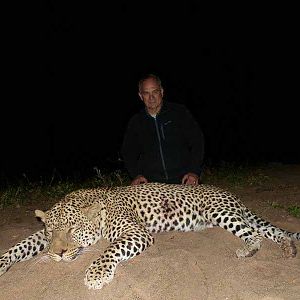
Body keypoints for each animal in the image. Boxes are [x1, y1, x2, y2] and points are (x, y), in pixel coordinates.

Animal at [0, 182, 298, 290]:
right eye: (51, 231)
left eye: (73, 230)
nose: (57, 254)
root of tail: (232, 195)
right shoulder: (40, 238)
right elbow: (20, 245)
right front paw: (3, 263)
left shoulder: (136, 232)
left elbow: (110, 249)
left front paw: (96, 274)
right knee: (269, 230)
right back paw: (288, 248)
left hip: (220, 211)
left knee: (256, 234)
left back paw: (249, 250)